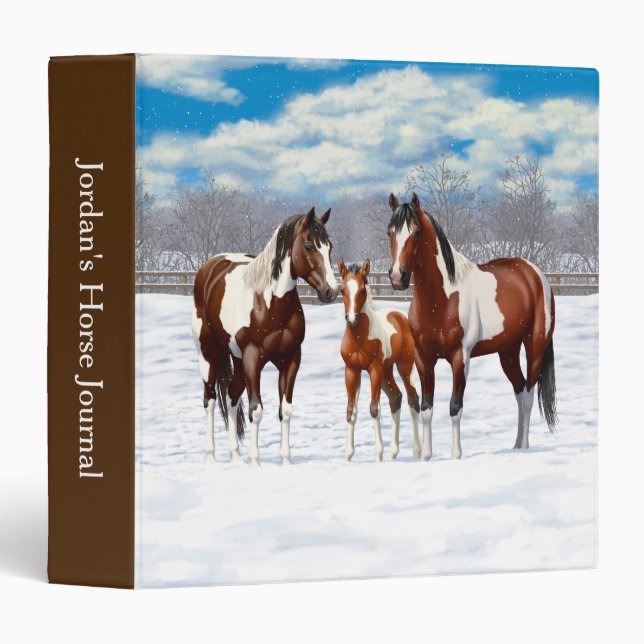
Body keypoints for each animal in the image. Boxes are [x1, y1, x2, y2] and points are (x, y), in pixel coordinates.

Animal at [192, 207, 338, 466]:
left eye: (329, 247)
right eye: (309, 246)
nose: (331, 291)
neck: (270, 303)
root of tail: (209, 268)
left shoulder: (291, 359)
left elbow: (286, 410)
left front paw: (286, 461)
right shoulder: (253, 358)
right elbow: (256, 410)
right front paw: (255, 462)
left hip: (237, 360)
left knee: (230, 397)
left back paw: (235, 456)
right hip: (208, 354)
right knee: (209, 400)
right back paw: (211, 456)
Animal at [338, 258, 421, 462]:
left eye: (362, 290)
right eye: (342, 289)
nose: (352, 319)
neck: (359, 338)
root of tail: (401, 317)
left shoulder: (374, 369)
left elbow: (374, 409)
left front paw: (378, 454)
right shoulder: (351, 370)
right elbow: (351, 411)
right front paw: (348, 455)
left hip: (404, 367)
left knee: (412, 399)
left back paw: (417, 452)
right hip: (387, 372)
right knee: (396, 398)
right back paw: (393, 453)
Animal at [387, 192, 557, 460]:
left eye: (416, 233)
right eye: (390, 232)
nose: (397, 277)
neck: (443, 298)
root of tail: (534, 274)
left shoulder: (460, 358)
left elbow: (455, 407)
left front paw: (456, 455)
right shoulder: (423, 359)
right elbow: (427, 407)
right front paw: (426, 456)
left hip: (535, 347)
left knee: (529, 394)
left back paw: (524, 446)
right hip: (507, 351)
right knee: (519, 391)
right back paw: (516, 444)